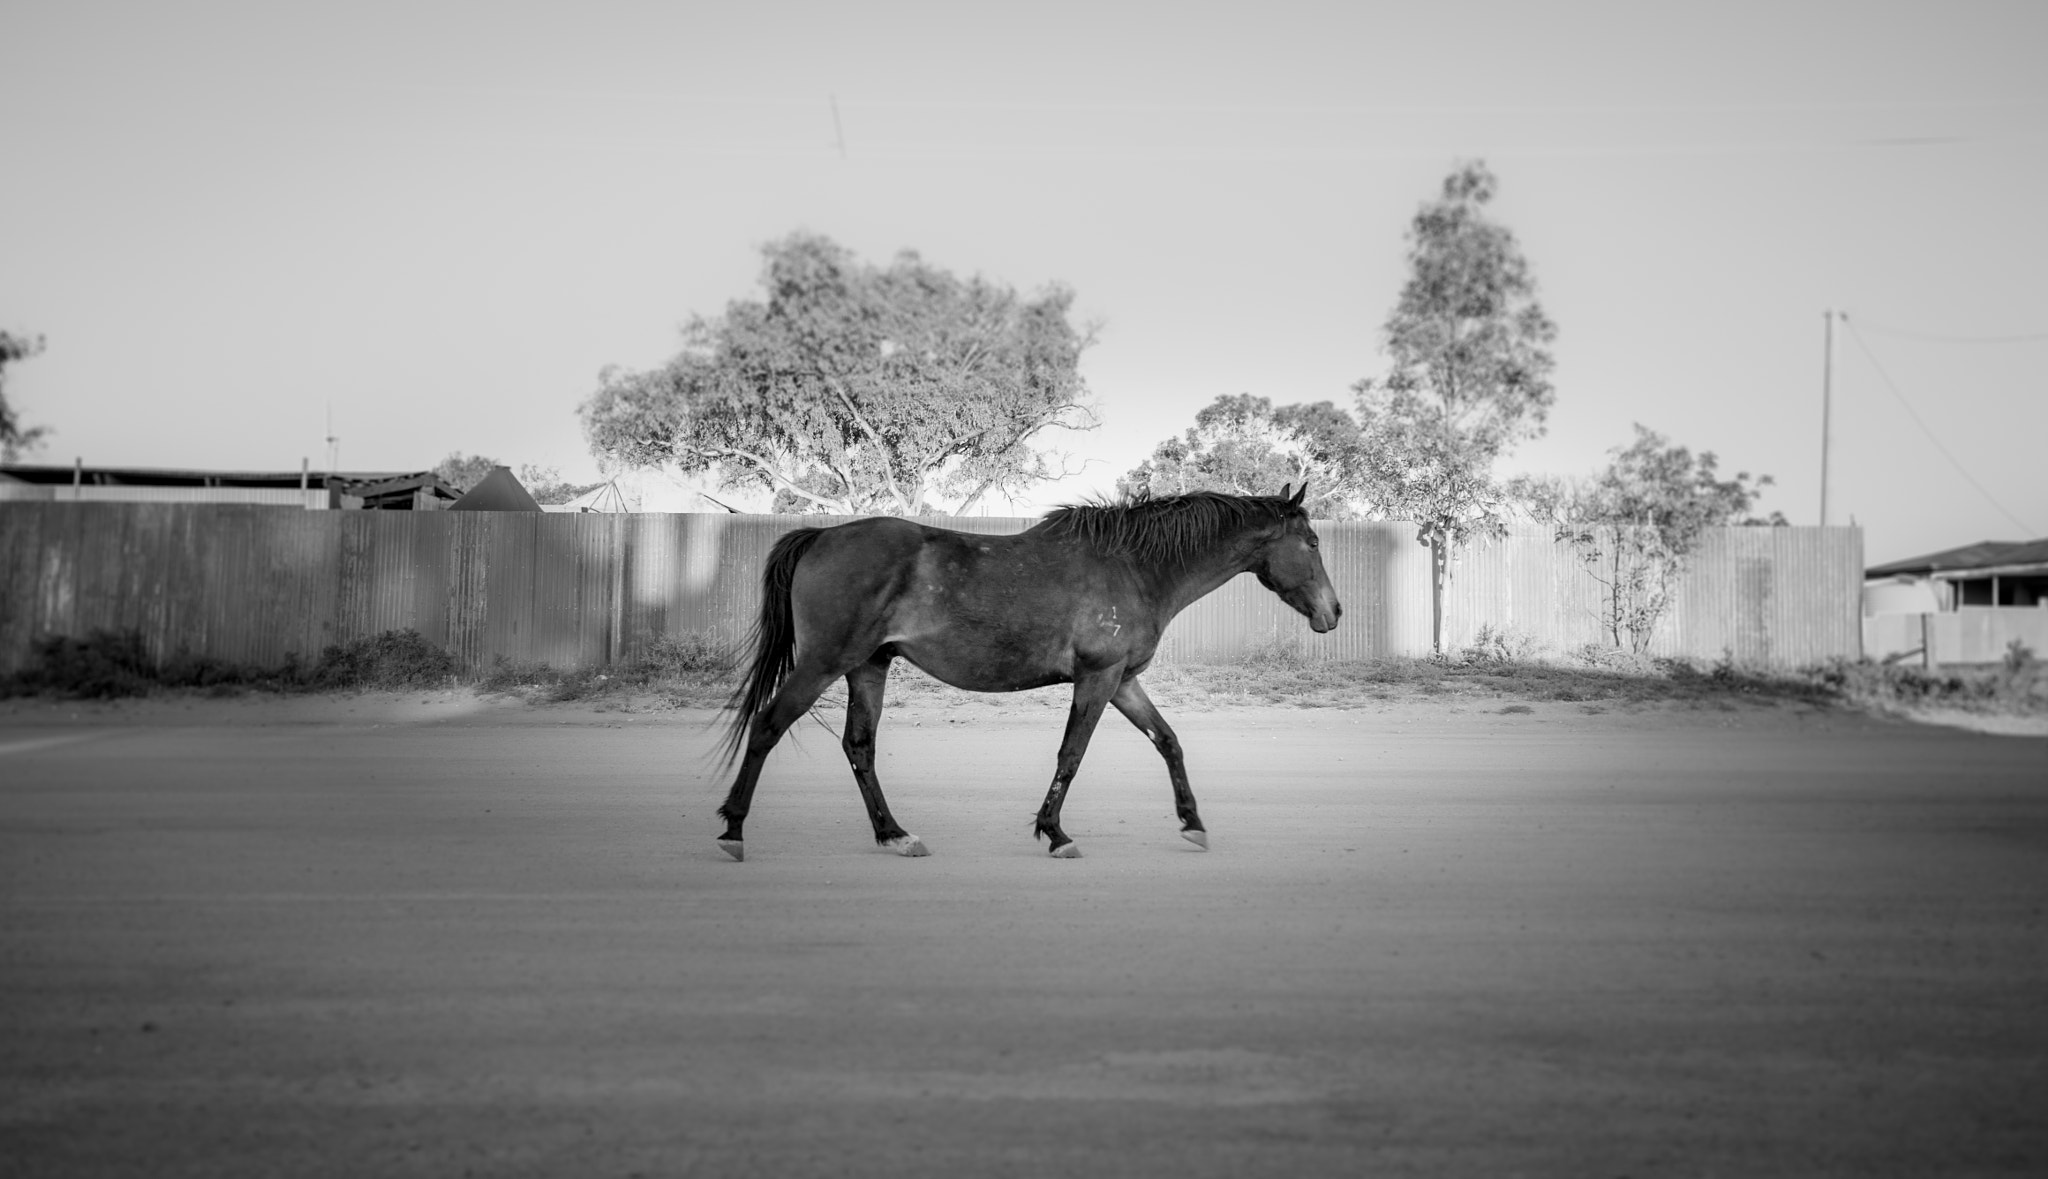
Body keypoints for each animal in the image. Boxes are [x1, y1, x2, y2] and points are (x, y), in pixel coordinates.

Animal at [716, 483, 1343, 859]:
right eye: (1312, 541)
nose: (1333, 612)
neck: (1136, 567)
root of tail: (822, 535)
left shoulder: (1124, 681)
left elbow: (1168, 741)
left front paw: (1192, 823)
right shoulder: (1098, 678)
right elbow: (1072, 754)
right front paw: (1056, 832)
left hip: (868, 667)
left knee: (859, 747)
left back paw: (894, 834)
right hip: (824, 664)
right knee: (768, 727)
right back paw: (733, 829)